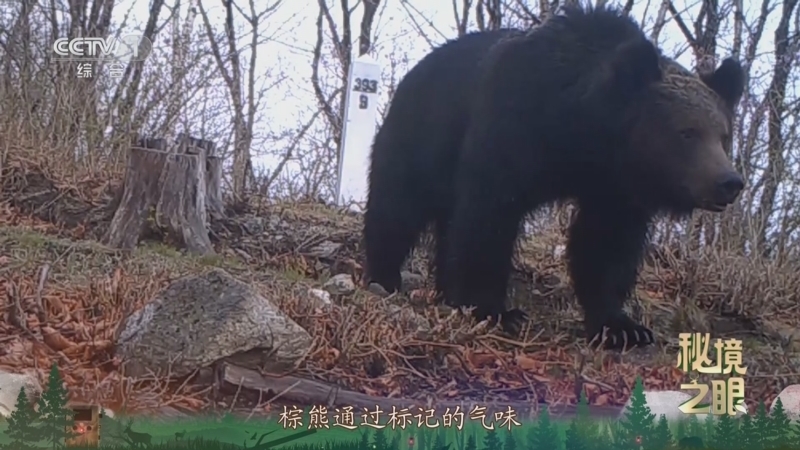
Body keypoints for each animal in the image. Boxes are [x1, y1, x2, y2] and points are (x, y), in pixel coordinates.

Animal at [363, 4, 745, 350]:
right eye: (686, 132)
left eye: (724, 135)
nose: (729, 182)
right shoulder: (512, 131)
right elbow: (489, 217)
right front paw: (493, 309)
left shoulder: (615, 186)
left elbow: (607, 243)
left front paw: (621, 327)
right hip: (421, 139)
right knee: (397, 206)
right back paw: (384, 275)